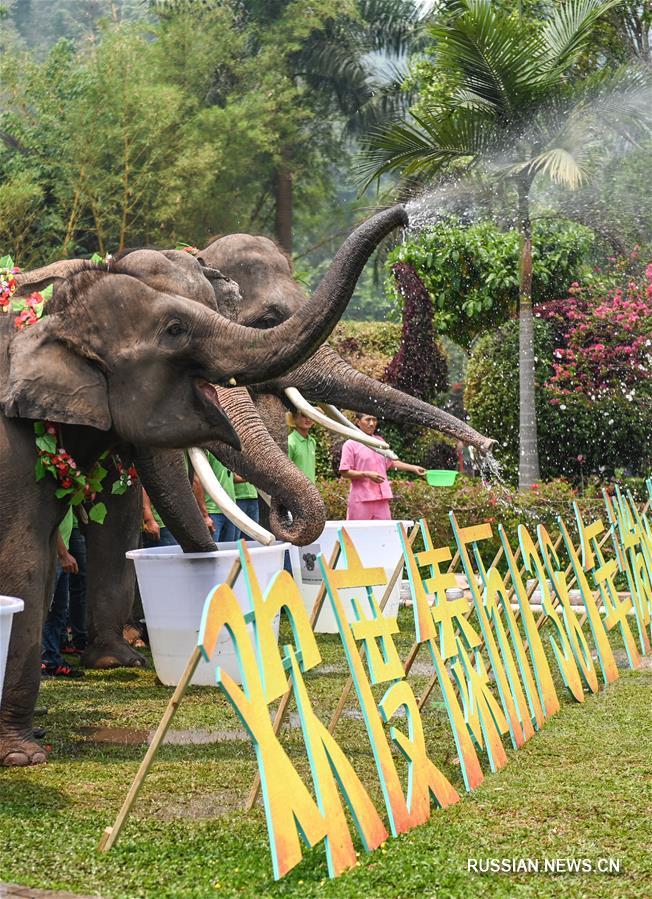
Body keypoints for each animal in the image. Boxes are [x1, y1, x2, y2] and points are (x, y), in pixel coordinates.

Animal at [0, 206, 408, 768]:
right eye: (175, 331)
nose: (406, 214)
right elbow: (25, 558)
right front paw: (23, 756)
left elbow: (112, 516)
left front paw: (115, 661)